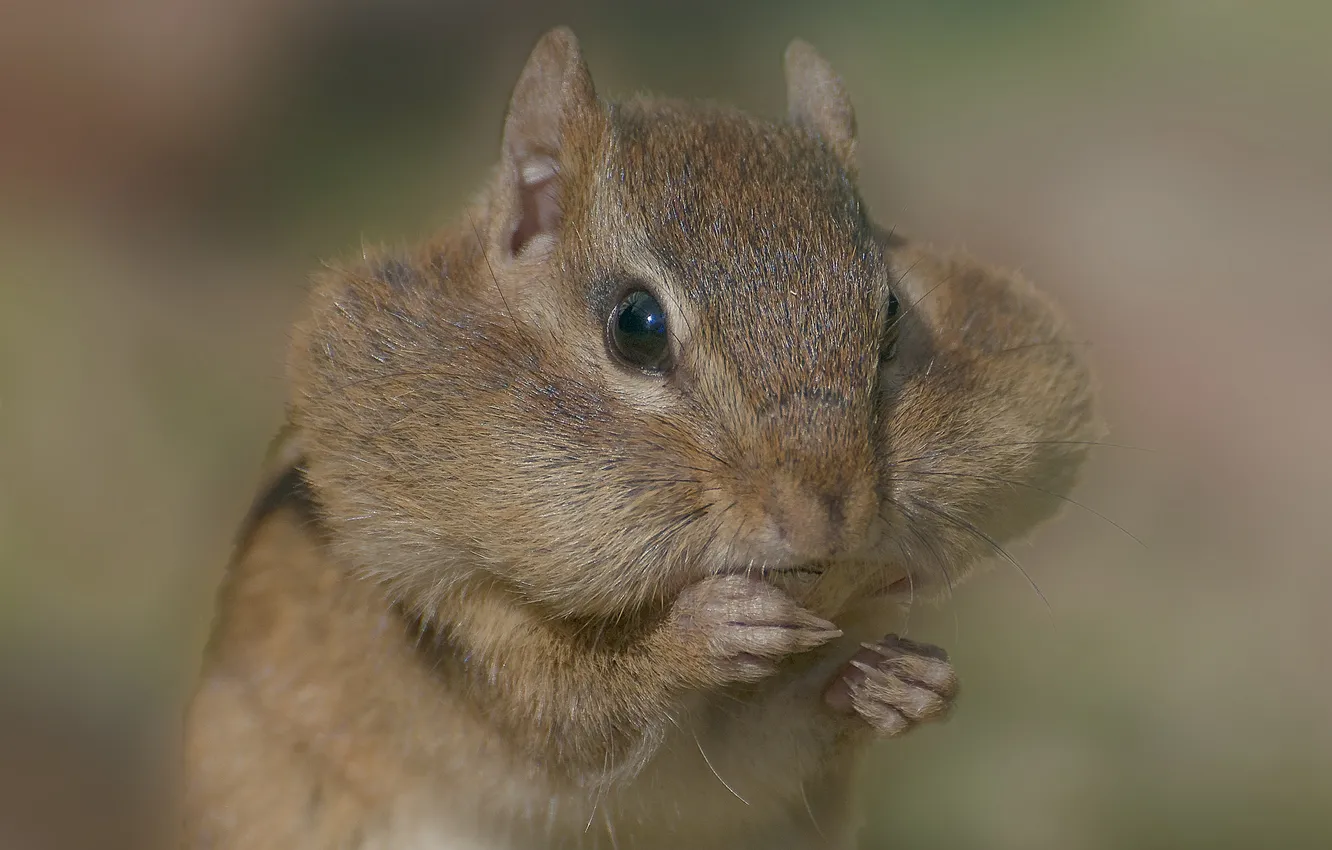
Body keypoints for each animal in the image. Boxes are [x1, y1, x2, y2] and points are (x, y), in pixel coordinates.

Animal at [183, 26, 1099, 850]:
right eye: (636, 326)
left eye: (894, 311)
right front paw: (703, 632)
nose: (826, 517)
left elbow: (773, 739)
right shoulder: (447, 610)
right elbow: (567, 707)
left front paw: (902, 683)